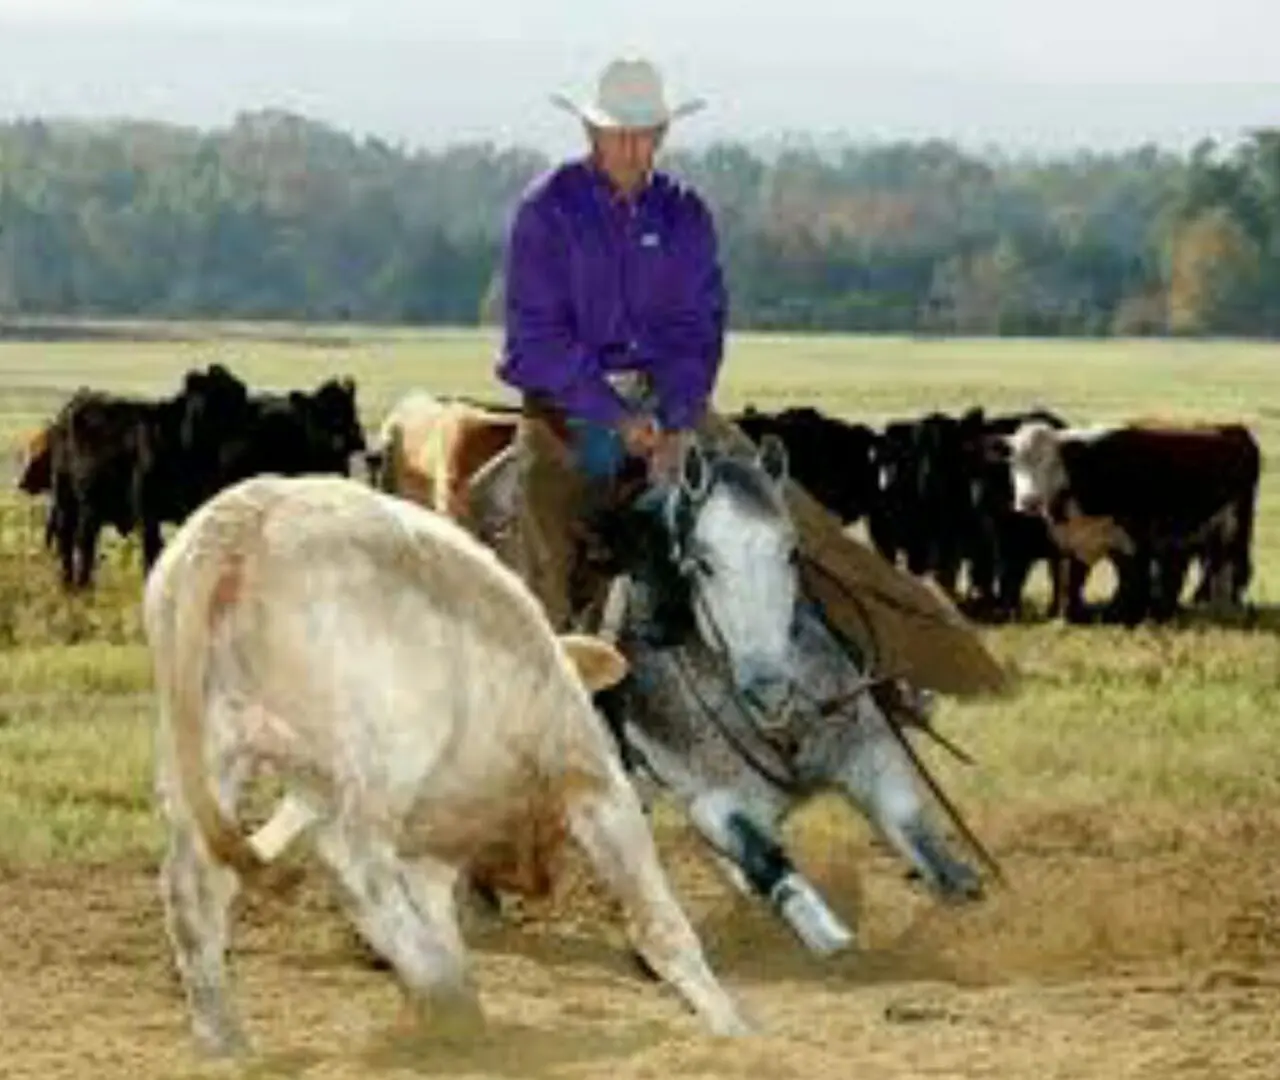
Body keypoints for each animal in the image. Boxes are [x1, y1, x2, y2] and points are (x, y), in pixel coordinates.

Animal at [145, 470, 747, 1054]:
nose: (538, 882)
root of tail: (243, 519)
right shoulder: (591, 779)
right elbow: (656, 917)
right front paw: (733, 1028)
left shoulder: (426, 855)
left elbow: (438, 919)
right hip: (388, 750)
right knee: (349, 859)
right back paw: (446, 997)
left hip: (209, 748)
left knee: (194, 886)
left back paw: (226, 1038)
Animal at [998, 419, 1259, 624]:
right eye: (1014, 464)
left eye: (1052, 463)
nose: (1028, 502)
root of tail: (1230, 429)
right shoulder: (1071, 541)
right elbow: (1069, 581)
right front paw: (1065, 616)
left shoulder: (1137, 537)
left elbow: (1134, 579)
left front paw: (1131, 616)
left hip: (1233, 526)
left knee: (1228, 565)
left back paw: (1225, 609)